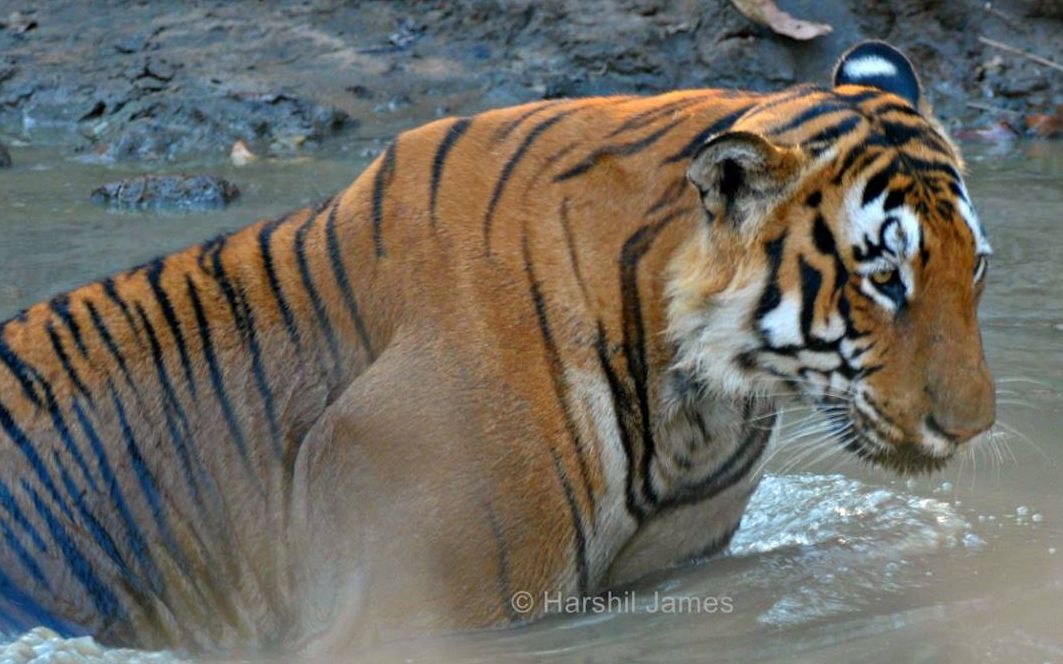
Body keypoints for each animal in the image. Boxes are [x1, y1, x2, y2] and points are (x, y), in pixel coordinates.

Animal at [0, 41, 994, 654]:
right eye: (884, 279)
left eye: (973, 267)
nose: (973, 429)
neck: (695, 402)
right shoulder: (418, 609)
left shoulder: (679, 574)